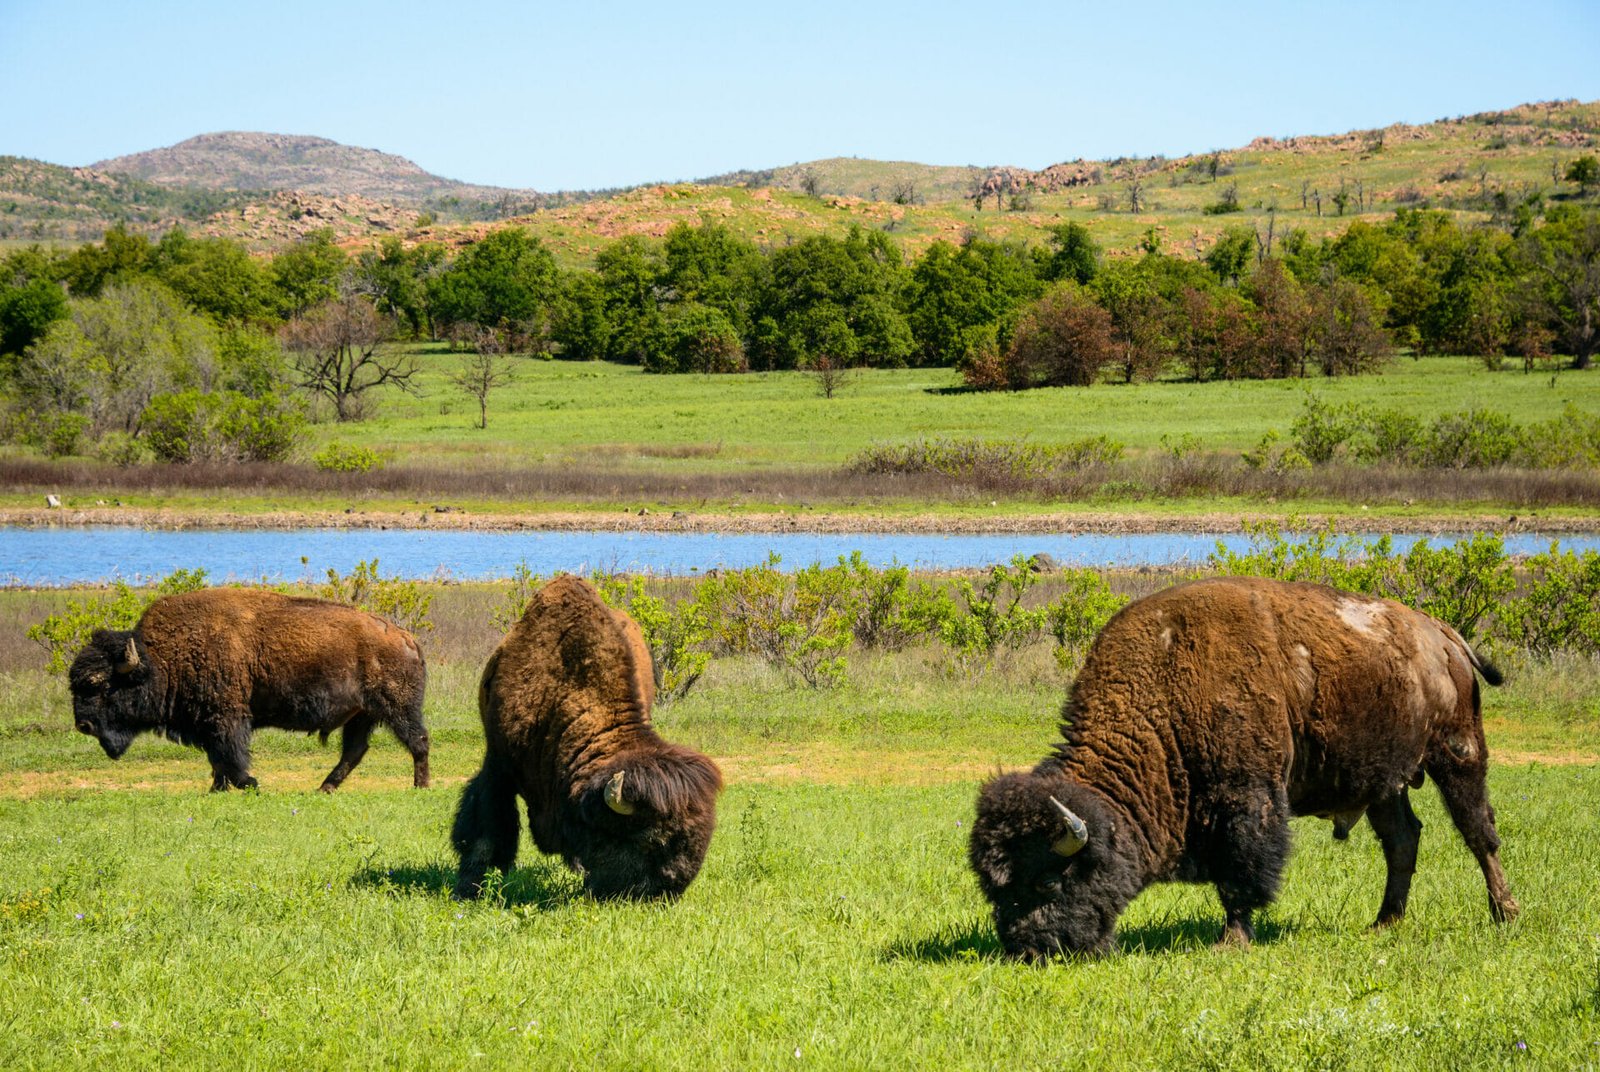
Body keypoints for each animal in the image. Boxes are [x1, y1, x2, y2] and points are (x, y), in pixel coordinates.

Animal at [67, 592, 432, 793]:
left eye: (101, 685)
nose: (83, 725)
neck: (161, 657)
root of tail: (406, 638)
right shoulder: (208, 723)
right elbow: (217, 759)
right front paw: (217, 789)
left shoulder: (226, 718)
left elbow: (230, 756)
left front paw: (250, 784)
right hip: (362, 715)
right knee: (355, 751)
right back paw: (324, 787)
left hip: (397, 709)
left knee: (418, 741)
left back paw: (420, 785)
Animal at [966, 579, 1516, 966]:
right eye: (994, 888)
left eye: (1047, 882)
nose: (1027, 951)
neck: (1166, 691)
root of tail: (1442, 635)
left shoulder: (1247, 802)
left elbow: (1242, 875)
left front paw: (1231, 941)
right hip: (1384, 781)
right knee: (1403, 839)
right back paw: (1383, 923)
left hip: (1457, 753)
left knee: (1478, 832)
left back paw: (1503, 914)